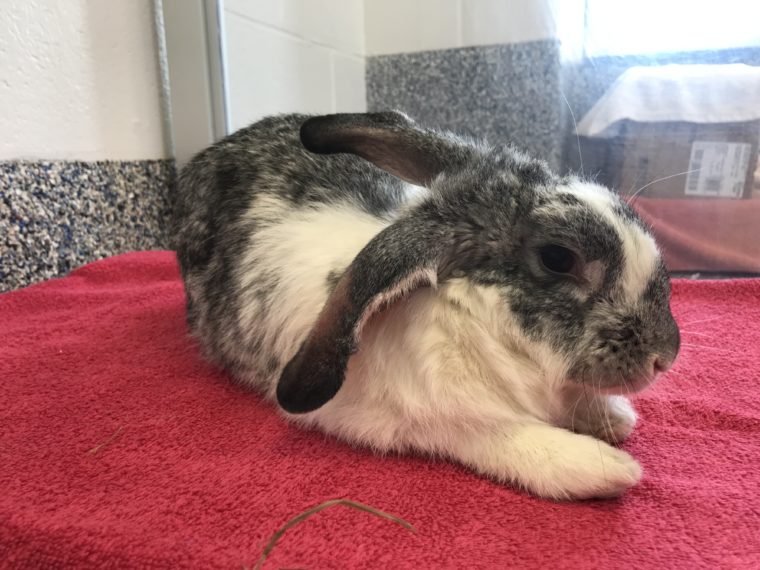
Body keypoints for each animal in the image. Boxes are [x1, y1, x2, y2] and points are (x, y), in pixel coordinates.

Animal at [171, 111, 676, 496]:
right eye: (558, 258)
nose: (665, 357)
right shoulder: (428, 419)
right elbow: (503, 435)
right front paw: (606, 466)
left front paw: (612, 417)